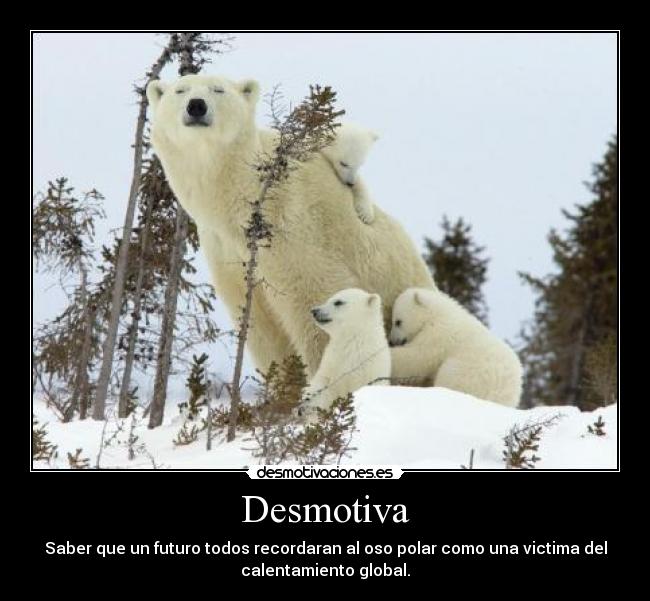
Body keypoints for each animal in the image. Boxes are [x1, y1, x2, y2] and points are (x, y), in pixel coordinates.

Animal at [146, 74, 435, 378]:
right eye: (180, 90)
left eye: (218, 89)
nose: (197, 106)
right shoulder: (225, 250)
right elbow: (261, 327)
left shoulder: (292, 227)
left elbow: (314, 301)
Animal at [301, 288, 391, 420]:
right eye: (328, 299)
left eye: (338, 302)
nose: (314, 311)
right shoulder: (332, 362)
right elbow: (323, 383)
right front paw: (307, 402)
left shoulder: (368, 368)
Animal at [389, 287, 523, 407]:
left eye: (398, 322)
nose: (392, 341)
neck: (438, 314)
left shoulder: (439, 335)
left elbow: (417, 357)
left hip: (468, 373)